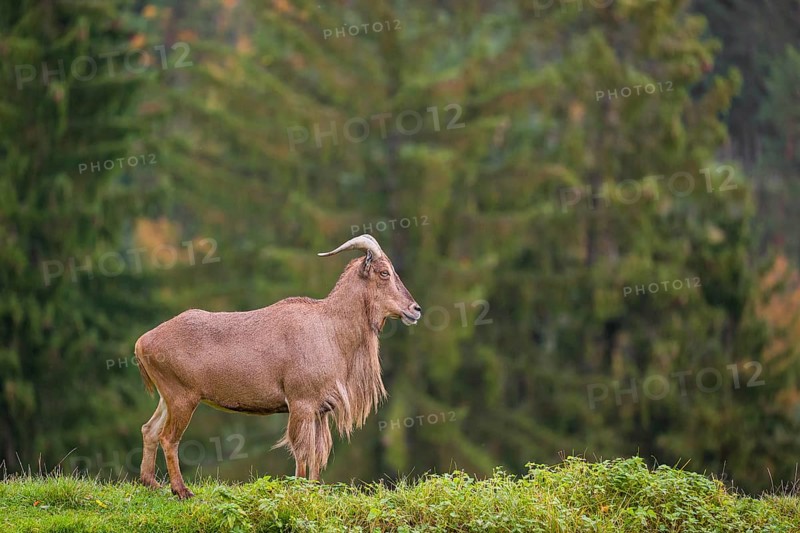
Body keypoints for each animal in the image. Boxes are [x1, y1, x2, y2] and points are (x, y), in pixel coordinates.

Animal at [134, 234, 422, 499]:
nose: (415, 309)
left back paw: (151, 483)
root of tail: (143, 342)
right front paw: (300, 491)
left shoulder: (320, 411)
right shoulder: (301, 403)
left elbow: (317, 453)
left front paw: (314, 490)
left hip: (167, 398)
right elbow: (302, 452)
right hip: (182, 398)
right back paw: (181, 490)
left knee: (149, 430)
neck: (330, 330)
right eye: (384, 272)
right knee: (168, 438)